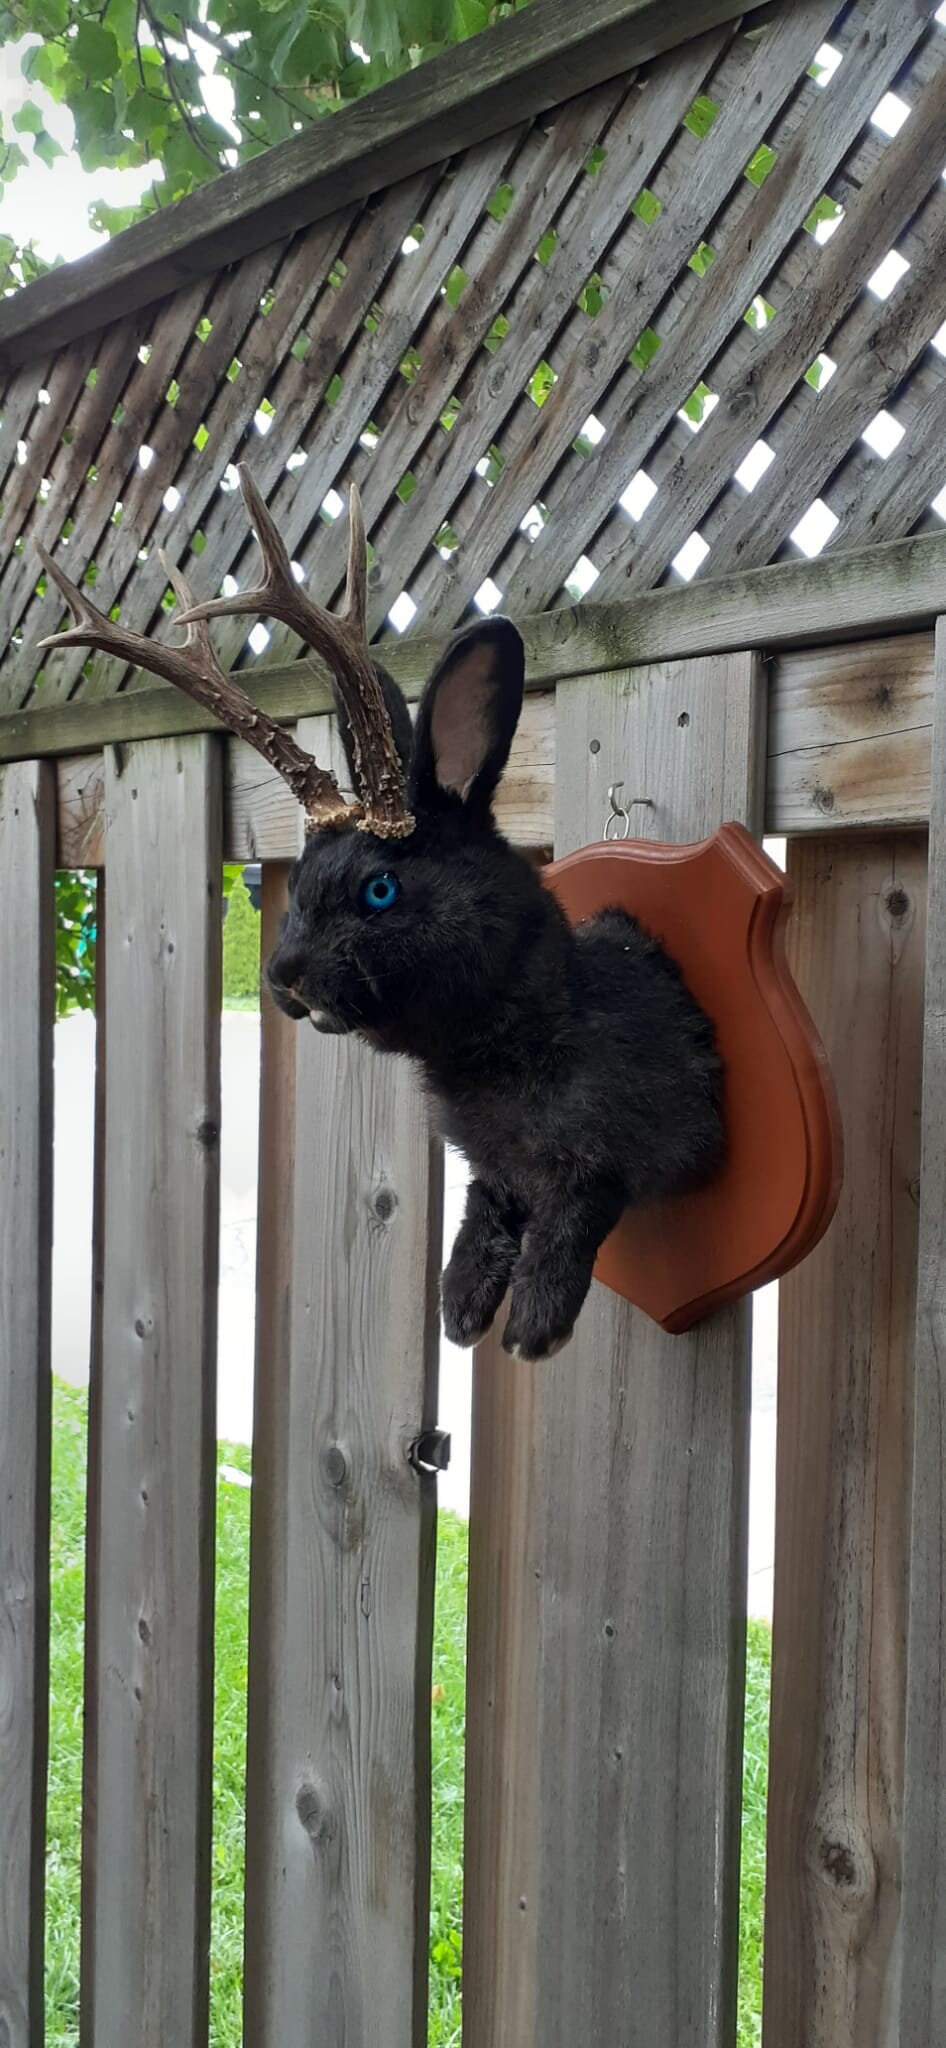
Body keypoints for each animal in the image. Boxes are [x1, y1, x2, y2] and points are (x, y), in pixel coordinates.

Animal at [266, 617, 724, 1361]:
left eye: (380, 890)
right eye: (297, 883)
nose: (285, 977)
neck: (502, 1043)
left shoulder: (593, 1161)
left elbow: (568, 1225)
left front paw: (533, 1333)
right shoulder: (494, 1169)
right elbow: (481, 1217)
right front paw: (460, 1314)